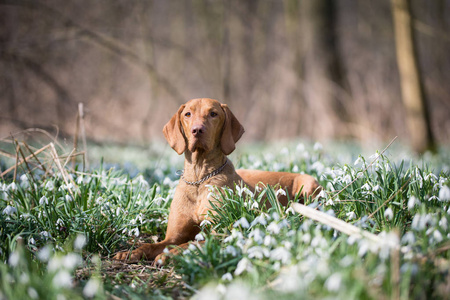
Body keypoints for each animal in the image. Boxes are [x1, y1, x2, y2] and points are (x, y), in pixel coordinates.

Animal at [114, 99, 322, 262]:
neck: (199, 178)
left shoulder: (217, 231)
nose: (197, 130)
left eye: (213, 114)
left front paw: (169, 255)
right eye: (188, 114)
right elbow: (152, 245)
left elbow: (189, 244)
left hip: (308, 185)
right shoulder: (173, 236)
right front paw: (130, 252)